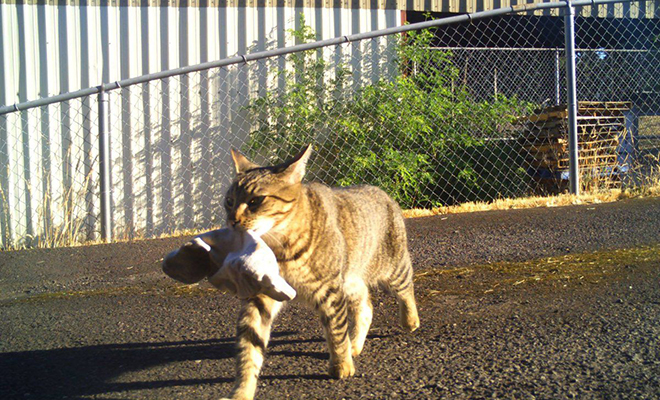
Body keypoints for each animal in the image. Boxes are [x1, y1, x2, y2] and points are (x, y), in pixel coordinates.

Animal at [222, 145, 418, 398]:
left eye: (256, 200)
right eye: (228, 201)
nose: (232, 221)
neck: (279, 249)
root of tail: (380, 191)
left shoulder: (330, 291)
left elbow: (335, 331)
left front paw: (341, 365)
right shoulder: (260, 295)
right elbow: (249, 347)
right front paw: (242, 390)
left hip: (391, 267)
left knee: (407, 287)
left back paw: (410, 320)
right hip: (351, 280)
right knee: (366, 306)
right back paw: (355, 344)